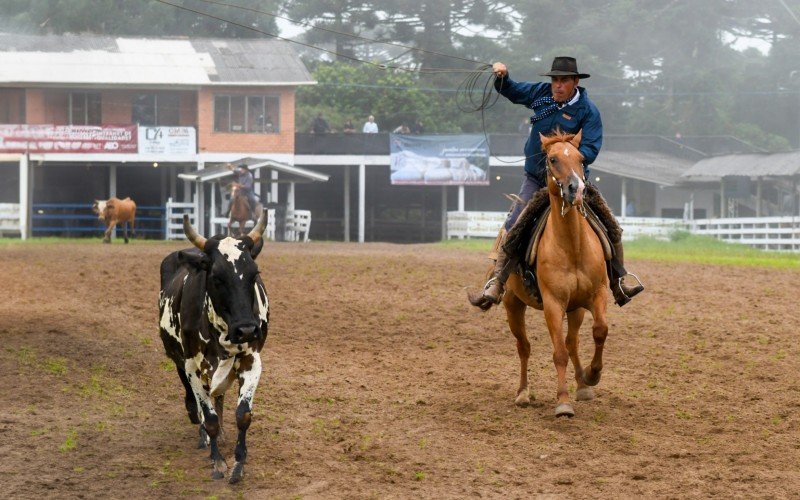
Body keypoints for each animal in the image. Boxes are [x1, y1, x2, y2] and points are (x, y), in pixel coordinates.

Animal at [504, 130, 608, 418]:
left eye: (581, 158)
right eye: (552, 159)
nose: (577, 189)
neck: (572, 246)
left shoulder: (596, 295)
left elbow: (599, 331)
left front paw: (592, 375)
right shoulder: (553, 304)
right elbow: (558, 353)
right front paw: (563, 402)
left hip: (576, 309)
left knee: (572, 342)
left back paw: (583, 385)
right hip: (512, 305)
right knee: (524, 347)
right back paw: (523, 393)